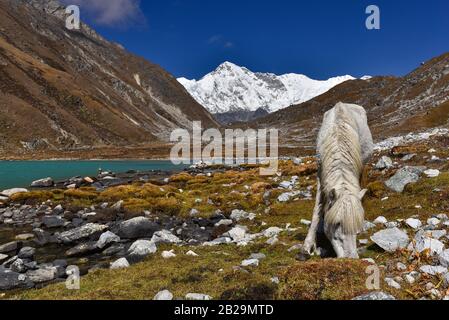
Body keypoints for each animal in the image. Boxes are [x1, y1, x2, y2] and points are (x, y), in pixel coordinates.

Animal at [302, 104, 372, 258]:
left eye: (358, 228)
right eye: (338, 223)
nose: (351, 258)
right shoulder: (320, 175)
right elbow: (317, 209)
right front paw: (307, 247)